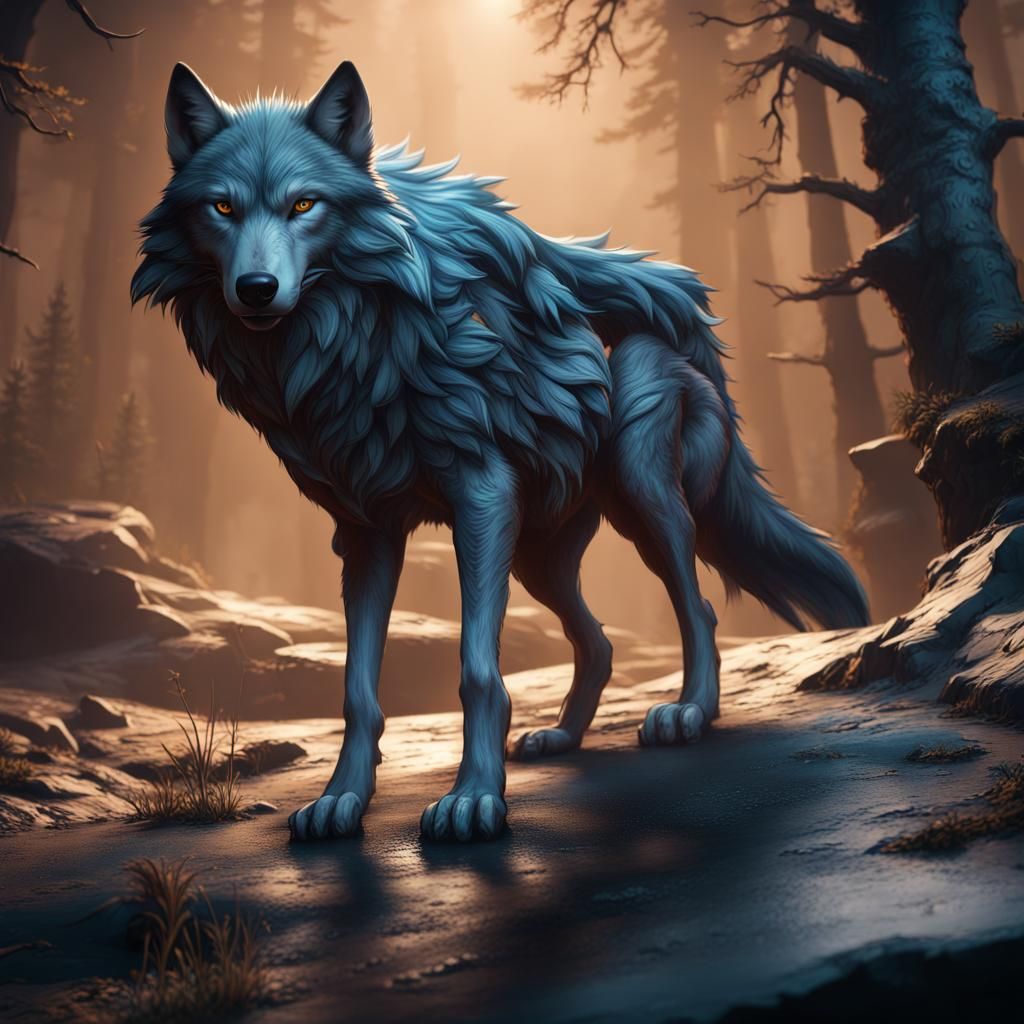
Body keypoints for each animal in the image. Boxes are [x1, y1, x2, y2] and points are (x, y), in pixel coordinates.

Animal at [133, 61, 869, 843]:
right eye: (222, 207)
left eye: (304, 204)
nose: (257, 289)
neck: (357, 336)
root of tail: (681, 295)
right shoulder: (366, 532)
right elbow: (358, 689)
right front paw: (341, 800)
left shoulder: (481, 497)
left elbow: (478, 670)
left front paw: (473, 799)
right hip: (538, 554)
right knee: (600, 642)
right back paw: (562, 737)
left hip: (637, 496)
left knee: (697, 607)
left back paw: (689, 712)